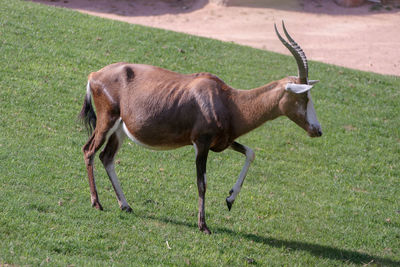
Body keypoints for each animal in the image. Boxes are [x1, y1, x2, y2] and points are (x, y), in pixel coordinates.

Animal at [79, 22, 324, 234]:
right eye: (304, 97)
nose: (317, 130)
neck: (228, 100)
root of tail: (94, 75)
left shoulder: (222, 143)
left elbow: (250, 153)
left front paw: (229, 199)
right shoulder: (201, 144)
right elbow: (202, 182)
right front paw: (203, 226)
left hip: (120, 130)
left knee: (106, 157)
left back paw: (126, 205)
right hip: (107, 121)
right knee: (89, 150)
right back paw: (97, 203)